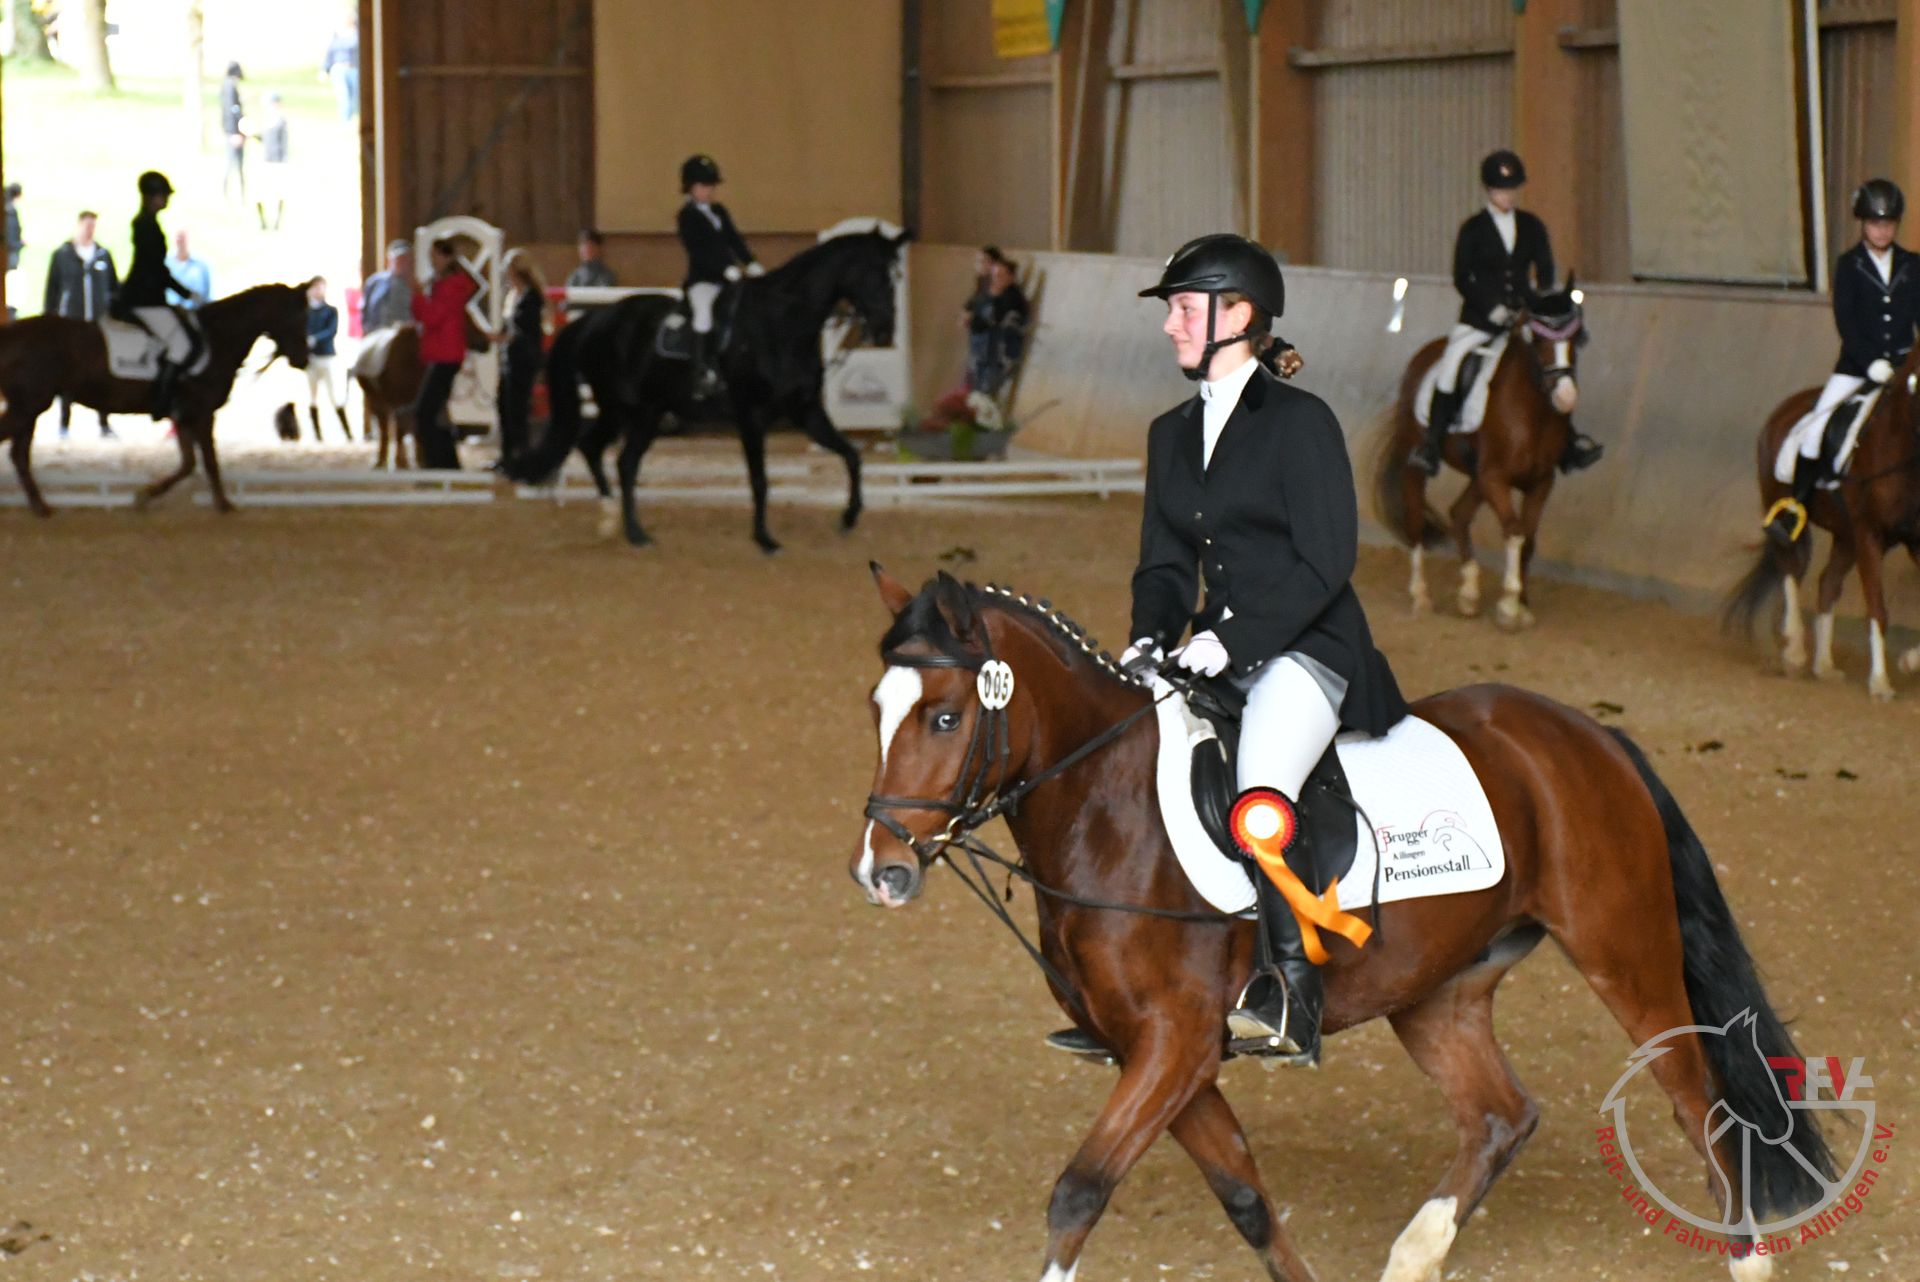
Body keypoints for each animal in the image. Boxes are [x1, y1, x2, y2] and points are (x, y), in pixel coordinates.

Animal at [0, 283, 313, 515]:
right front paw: (225, 505)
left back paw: (41, 507)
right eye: (297, 318)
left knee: (19, 455)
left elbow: (188, 464)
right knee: (16, 451)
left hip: (30, 407)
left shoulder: (183, 414)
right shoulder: (202, 413)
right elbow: (209, 461)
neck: (217, 339)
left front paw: (145, 495)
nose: (303, 359)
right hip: (29, 405)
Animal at [506, 227, 909, 552]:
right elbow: (760, 479)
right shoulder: (751, 416)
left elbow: (852, 456)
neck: (781, 324)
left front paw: (849, 517)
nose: (884, 330)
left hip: (638, 411)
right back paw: (630, 530)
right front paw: (764, 539)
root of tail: (595, 319)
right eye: (875, 274)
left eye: (895, 277)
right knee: (613, 457)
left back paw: (616, 520)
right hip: (631, 410)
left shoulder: (806, 411)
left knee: (608, 455)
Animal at [853, 568, 1831, 1282]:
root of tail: (1588, 736)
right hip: (1439, 991)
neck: (1110, 810)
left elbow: (1081, 1192)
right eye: (876, 712)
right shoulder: (1165, 1055)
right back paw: (1415, 1255)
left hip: (1625, 956)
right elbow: (1246, 1199)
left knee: (1699, 1106)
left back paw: (1746, 1260)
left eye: (945, 716)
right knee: (1501, 1116)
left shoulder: (1173, 1043)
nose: (882, 872)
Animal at [1372, 285, 1588, 630]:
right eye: (1538, 339)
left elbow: (1528, 539)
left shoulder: (1540, 481)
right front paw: (1509, 605)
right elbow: (1514, 531)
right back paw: (1421, 597)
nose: (1566, 397)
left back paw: (1469, 595)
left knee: (1459, 514)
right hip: (1416, 461)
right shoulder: (1495, 476)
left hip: (1477, 476)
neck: (1533, 413)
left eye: (1577, 337)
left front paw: (1522, 604)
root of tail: (1427, 353)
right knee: (1416, 519)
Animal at [1724, 345, 1920, 700]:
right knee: (1790, 567)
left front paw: (1909, 661)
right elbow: (1877, 608)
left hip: (1845, 536)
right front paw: (1880, 682)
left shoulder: (1914, 541)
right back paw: (1794, 651)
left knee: (1827, 583)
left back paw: (1824, 665)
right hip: (1786, 512)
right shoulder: (1869, 534)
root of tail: (1787, 407)